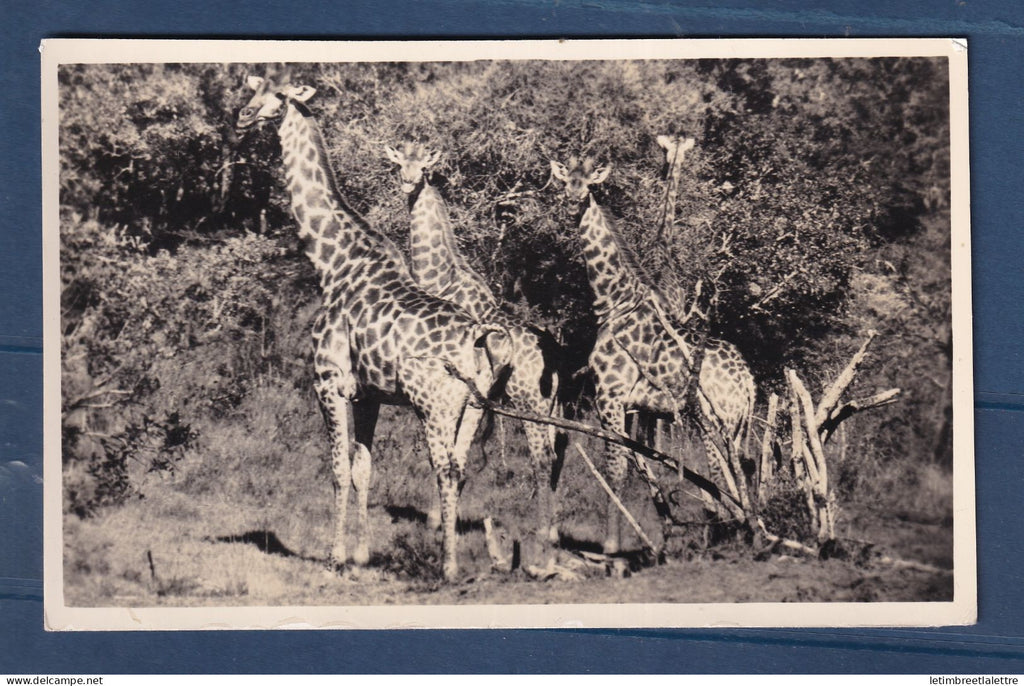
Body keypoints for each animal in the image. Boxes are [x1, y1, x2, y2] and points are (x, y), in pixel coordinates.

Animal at [235, 74, 512, 581]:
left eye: (279, 96)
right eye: (254, 88)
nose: (244, 115)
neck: (332, 263)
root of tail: (478, 341)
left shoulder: (328, 381)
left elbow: (338, 470)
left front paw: (335, 557)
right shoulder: (369, 394)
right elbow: (364, 469)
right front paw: (363, 555)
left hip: (434, 404)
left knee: (444, 467)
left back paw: (448, 566)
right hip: (473, 406)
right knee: (460, 465)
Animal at [383, 141, 566, 563]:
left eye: (424, 166)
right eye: (399, 163)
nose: (407, 182)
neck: (441, 277)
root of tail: (557, 359)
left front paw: (437, 520)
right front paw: (442, 517)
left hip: (529, 401)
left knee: (542, 457)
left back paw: (542, 536)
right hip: (552, 405)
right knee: (556, 455)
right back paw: (553, 532)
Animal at [550, 156, 756, 553]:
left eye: (589, 185)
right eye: (565, 182)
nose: (571, 203)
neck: (615, 303)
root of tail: (748, 380)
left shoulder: (610, 396)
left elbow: (616, 468)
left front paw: (612, 546)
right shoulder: (634, 406)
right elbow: (646, 465)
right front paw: (661, 535)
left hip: (715, 418)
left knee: (722, 470)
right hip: (735, 423)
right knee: (739, 471)